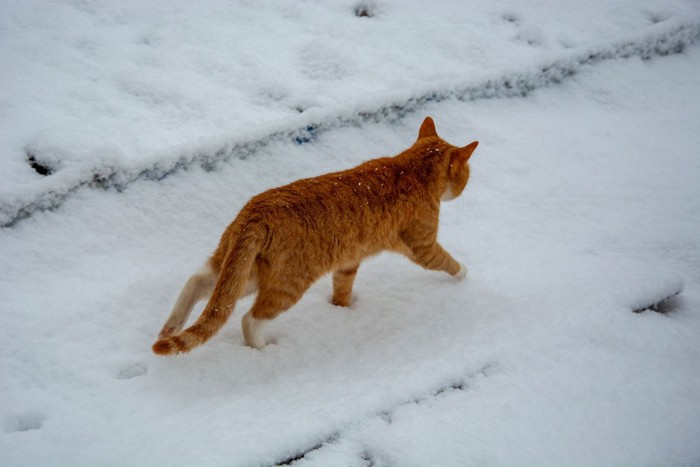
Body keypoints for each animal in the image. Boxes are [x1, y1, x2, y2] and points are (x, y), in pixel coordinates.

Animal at [154, 117, 478, 354]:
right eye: (466, 175)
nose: (465, 187)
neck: (411, 168)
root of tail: (258, 212)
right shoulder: (422, 244)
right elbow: (444, 260)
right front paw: (464, 271)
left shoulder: (349, 260)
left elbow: (343, 287)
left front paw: (343, 309)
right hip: (288, 283)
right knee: (250, 319)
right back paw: (261, 349)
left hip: (243, 268)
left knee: (199, 282)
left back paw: (172, 325)